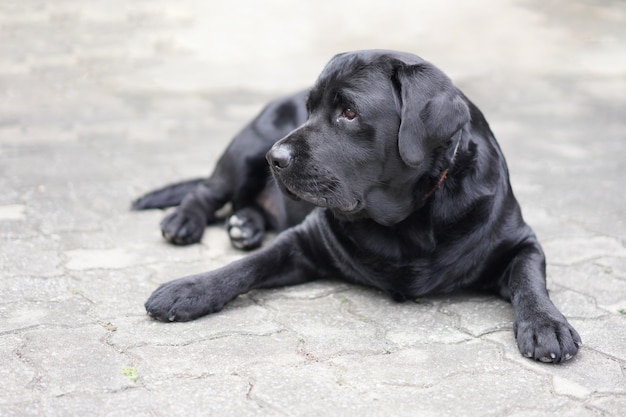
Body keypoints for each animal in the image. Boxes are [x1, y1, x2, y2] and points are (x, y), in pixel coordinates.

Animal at [133, 49, 580, 360]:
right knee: (207, 191)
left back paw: (245, 224)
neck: (407, 221)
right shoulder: (305, 240)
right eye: (310, 109)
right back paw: (185, 221)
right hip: (245, 149)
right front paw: (190, 289)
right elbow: (248, 266)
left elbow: (529, 279)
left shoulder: (518, 240)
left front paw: (546, 324)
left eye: (348, 112)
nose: (275, 158)